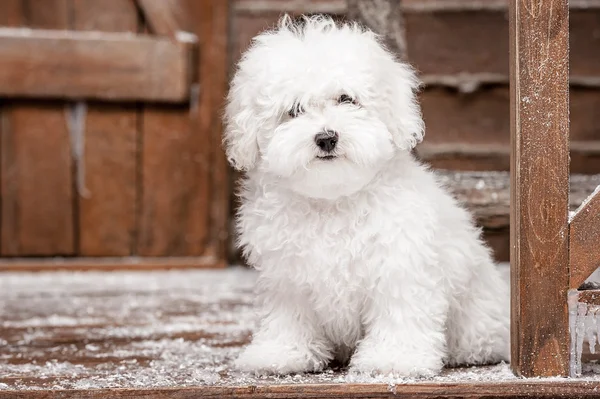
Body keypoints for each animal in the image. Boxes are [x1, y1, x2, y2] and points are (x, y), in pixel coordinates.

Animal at [223, 15, 508, 378]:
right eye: (294, 110)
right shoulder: (286, 275)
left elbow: (399, 311)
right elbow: (289, 315)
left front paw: (394, 358)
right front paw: (281, 353)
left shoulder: (400, 264)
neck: (333, 200)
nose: (326, 138)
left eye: (346, 99)